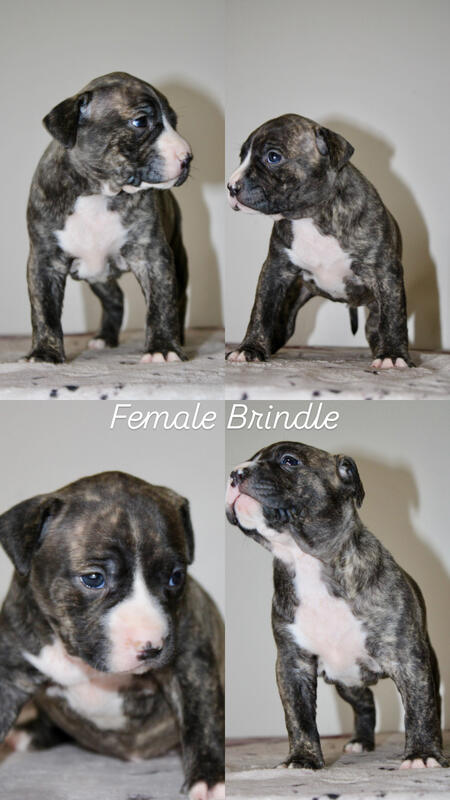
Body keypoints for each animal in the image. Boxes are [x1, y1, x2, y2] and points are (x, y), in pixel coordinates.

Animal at [0, 472, 224, 800]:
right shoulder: (10, 673)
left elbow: (203, 716)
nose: (152, 647)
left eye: (176, 577)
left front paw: (209, 779)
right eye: (94, 579)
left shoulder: (191, 660)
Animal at [26, 72, 192, 364]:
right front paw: (45, 353)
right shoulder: (44, 260)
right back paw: (105, 338)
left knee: (178, 298)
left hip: (178, 256)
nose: (187, 157)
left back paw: (177, 339)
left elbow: (161, 304)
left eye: (174, 122)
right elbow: (44, 310)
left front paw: (162, 348)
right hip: (97, 274)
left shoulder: (153, 256)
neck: (97, 193)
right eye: (141, 121)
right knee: (114, 298)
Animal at [226, 114, 413, 369]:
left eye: (273, 157)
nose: (231, 187)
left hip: (374, 310)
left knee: (377, 327)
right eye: (241, 156)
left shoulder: (385, 272)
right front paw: (249, 349)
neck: (310, 216)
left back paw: (382, 352)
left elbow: (394, 317)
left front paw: (393, 355)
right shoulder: (275, 270)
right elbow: (260, 310)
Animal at [226, 442, 447, 769]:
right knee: (365, 702)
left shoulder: (407, 658)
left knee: (433, 701)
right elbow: (299, 715)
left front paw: (422, 754)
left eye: (289, 461)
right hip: (346, 680)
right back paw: (361, 742)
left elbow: (421, 706)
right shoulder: (293, 664)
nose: (236, 473)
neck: (304, 559)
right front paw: (302, 758)